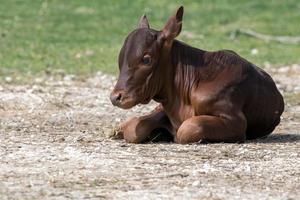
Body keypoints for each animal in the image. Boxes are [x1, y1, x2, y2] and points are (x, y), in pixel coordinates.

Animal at [109, 6, 284, 144]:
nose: (115, 97)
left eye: (146, 59)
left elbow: (188, 128)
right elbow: (135, 128)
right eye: (120, 58)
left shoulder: (236, 122)